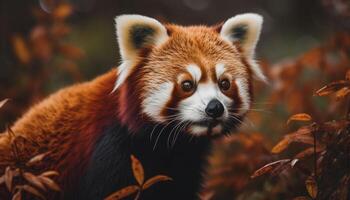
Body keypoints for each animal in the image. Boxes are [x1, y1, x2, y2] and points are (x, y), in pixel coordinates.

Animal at [0, 13, 264, 199]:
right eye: (187, 84)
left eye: (224, 83)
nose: (214, 108)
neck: (172, 145)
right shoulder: (110, 151)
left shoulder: (185, 164)